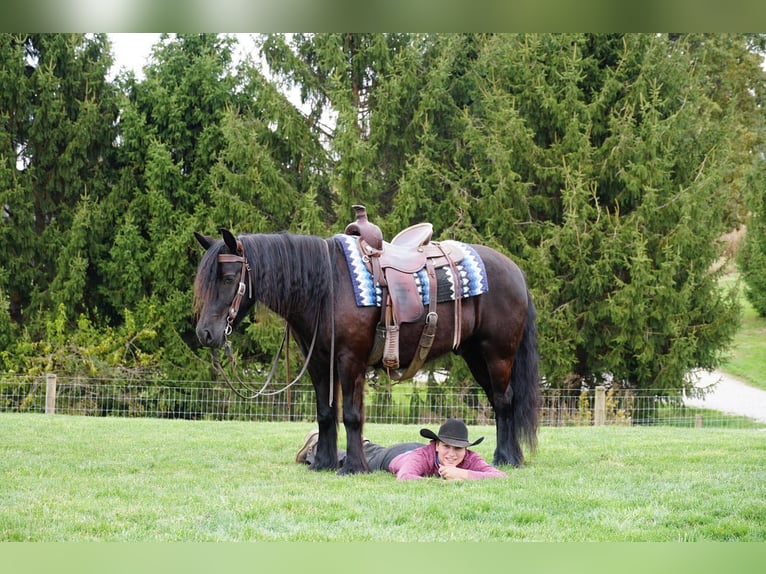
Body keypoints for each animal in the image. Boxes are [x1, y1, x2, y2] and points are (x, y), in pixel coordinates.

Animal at [192, 221, 540, 474]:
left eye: (228, 277)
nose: (205, 333)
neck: (328, 287)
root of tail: (516, 272)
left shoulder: (350, 360)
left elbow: (352, 415)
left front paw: (354, 467)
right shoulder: (319, 362)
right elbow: (325, 413)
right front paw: (323, 463)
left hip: (497, 354)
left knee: (504, 401)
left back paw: (507, 458)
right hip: (474, 355)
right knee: (497, 401)